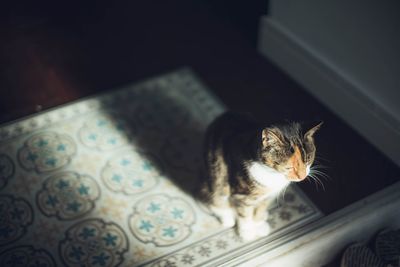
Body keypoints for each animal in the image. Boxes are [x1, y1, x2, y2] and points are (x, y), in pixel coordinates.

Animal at [200, 112, 322, 242]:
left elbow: (260, 209)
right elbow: (244, 214)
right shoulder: (242, 195)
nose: (302, 176)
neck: (274, 175)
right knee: (215, 199)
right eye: (288, 167)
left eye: (308, 160)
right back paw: (227, 217)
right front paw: (247, 232)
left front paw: (259, 225)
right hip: (216, 179)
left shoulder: (268, 196)